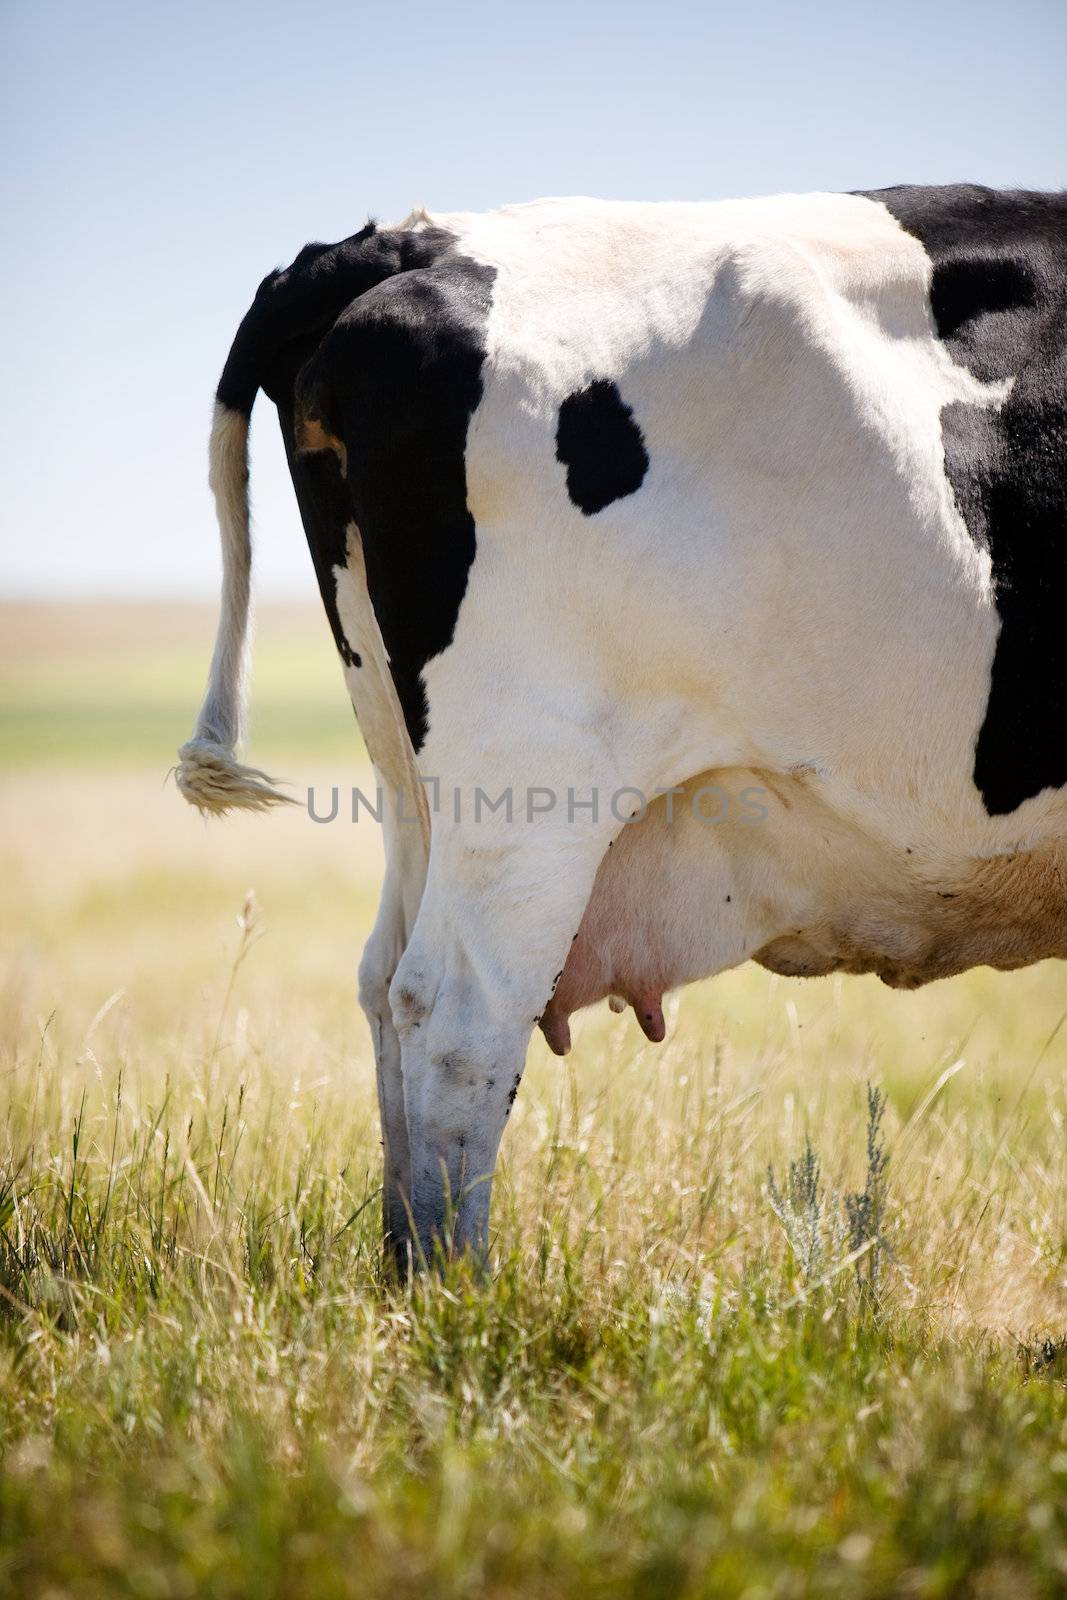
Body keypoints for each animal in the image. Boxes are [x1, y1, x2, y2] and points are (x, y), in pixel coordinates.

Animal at [179, 184, 1067, 1260]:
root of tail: (408, 236)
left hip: (410, 776)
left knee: (385, 983)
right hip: (533, 784)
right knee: (455, 1012)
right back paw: (453, 1283)